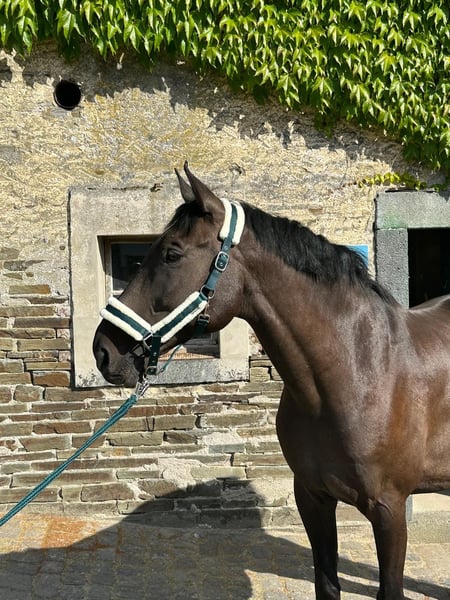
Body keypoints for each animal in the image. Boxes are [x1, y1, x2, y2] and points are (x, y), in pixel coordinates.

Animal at [93, 163, 450, 600]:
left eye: (172, 253)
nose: (103, 350)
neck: (357, 371)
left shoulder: (389, 510)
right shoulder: (312, 498)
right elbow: (326, 583)